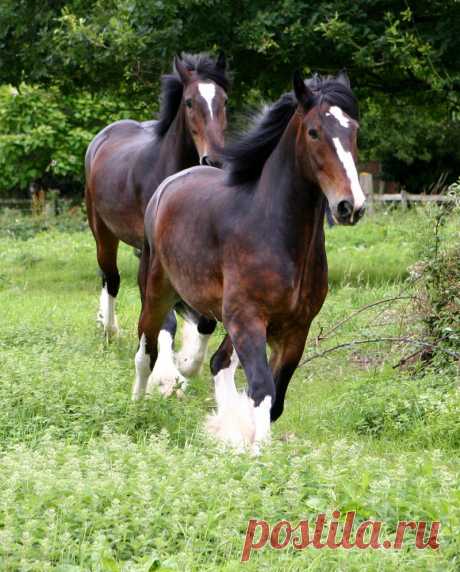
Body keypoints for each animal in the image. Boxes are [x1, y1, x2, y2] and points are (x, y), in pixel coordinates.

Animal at [85, 52, 229, 388]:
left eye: (224, 101)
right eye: (189, 102)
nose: (214, 159)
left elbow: (202, 317)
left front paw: (187, 360)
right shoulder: (152, 256)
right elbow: (163, 317)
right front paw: (166, 376)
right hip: (103, 232)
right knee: (111, 278)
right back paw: (109, 328)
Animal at [135, 69, 364, 450]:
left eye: (354, 130)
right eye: (314, 131)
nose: (351, 206)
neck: (273, 231)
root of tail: (168, 186)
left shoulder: (295, 328)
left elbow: (276, 397)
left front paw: (240, 436)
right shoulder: (249, 318)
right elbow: (262, 389)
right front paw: (257, 450)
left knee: (218, 362)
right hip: (158, 292)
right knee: (146, 350)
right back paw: (139, 405)